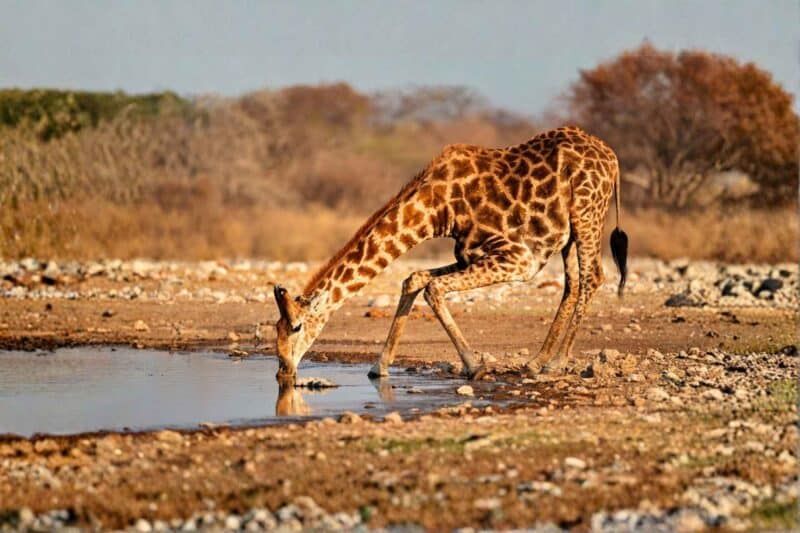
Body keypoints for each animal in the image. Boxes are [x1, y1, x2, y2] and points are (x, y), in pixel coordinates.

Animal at [273, 126, 628, 381]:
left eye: (296, 327)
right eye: (276, 328)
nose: (283, 370)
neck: (437, 210)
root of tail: (612, 157)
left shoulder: (518, 259)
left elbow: (432, 288)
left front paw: (475, 366)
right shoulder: (467, 255)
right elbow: (414, 279)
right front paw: (379, 367)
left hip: (587, 213)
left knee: (592, 276)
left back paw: (557, 362)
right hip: (568, 233)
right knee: (573, 283)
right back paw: (536, 361)